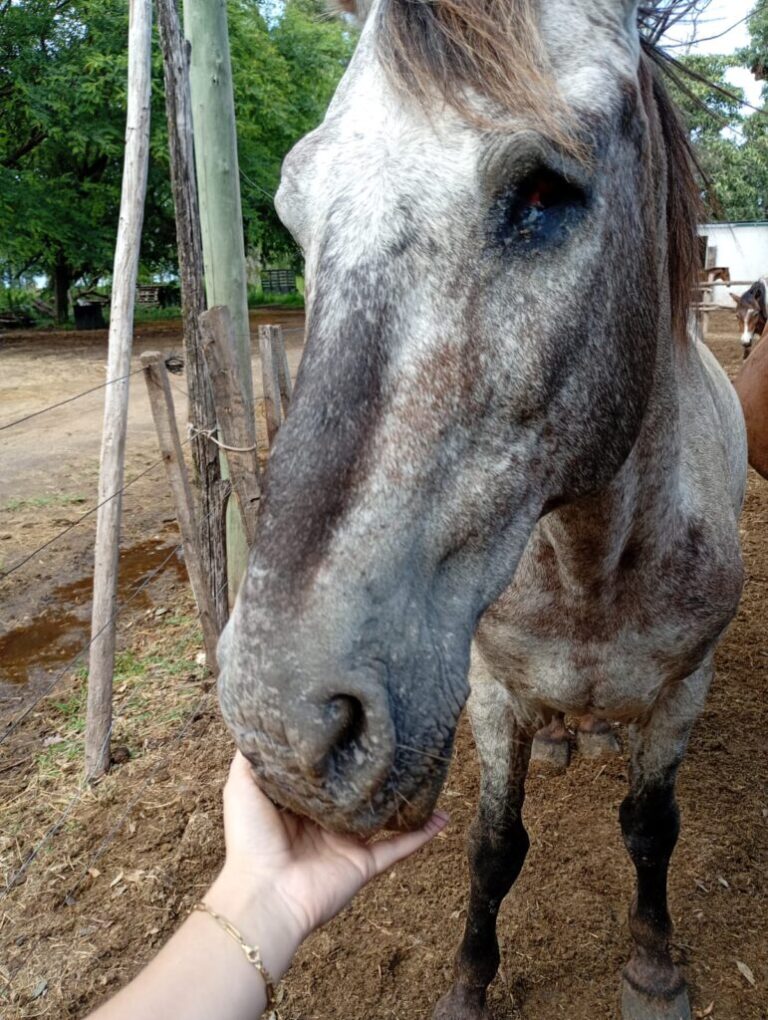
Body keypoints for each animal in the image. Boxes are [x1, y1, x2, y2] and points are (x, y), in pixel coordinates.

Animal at [217, 2, 747, 1018]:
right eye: (294, 212)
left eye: (543, 190)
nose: (287, 730)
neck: (590, 563)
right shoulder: (492, 695)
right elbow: (496, 846)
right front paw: (469, 983)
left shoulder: (684, 690)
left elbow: (651, 826)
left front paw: (654, 967)